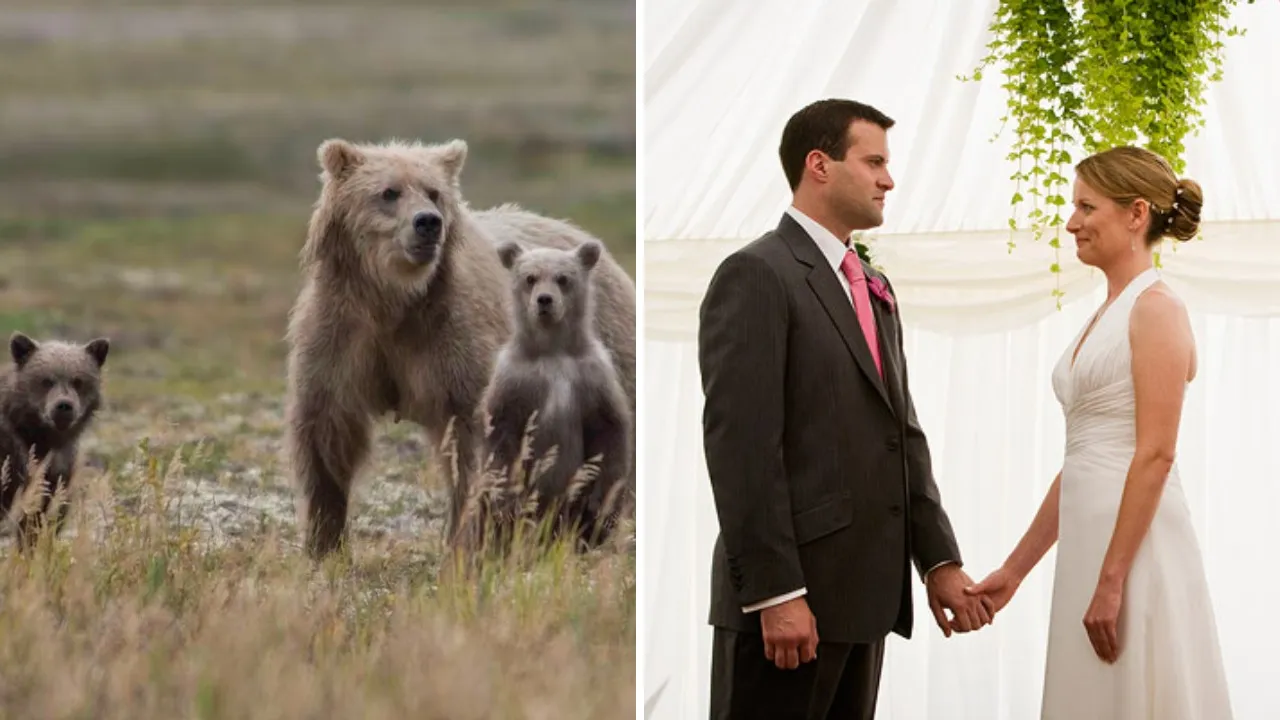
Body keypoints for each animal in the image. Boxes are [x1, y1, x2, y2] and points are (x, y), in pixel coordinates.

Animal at [0, 331, 109, 549]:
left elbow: (44, 516)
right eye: (46, 380)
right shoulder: (11, 455)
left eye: (78, 380)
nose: (64, 406)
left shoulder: (59, 467)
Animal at [474, 238, 632, 552]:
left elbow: (609, 430)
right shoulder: (514, 380)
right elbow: (500, 436)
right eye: (530, 278)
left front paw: (600, 505)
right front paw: (505, 503)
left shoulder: (592, 376)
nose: (544, 300)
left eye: (563, 278)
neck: (553, 350)